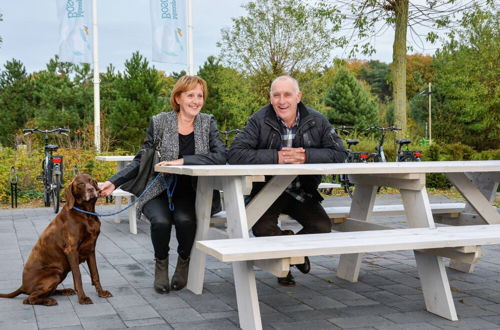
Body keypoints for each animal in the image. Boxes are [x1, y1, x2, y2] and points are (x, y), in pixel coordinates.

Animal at [0, 174, 111, 306]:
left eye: (91, 181)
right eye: (80, 184)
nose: (91, 189)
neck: (86, 214)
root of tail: (23, 286)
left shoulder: (91, 249)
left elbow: (95, 274)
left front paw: (101, 292)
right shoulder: (71, 250)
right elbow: (78, 276)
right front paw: (82, 298)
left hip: (61, 273)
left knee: (46, 293)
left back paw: (65, 291)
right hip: (54, 274)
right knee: (29, 299)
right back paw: (48, 301)